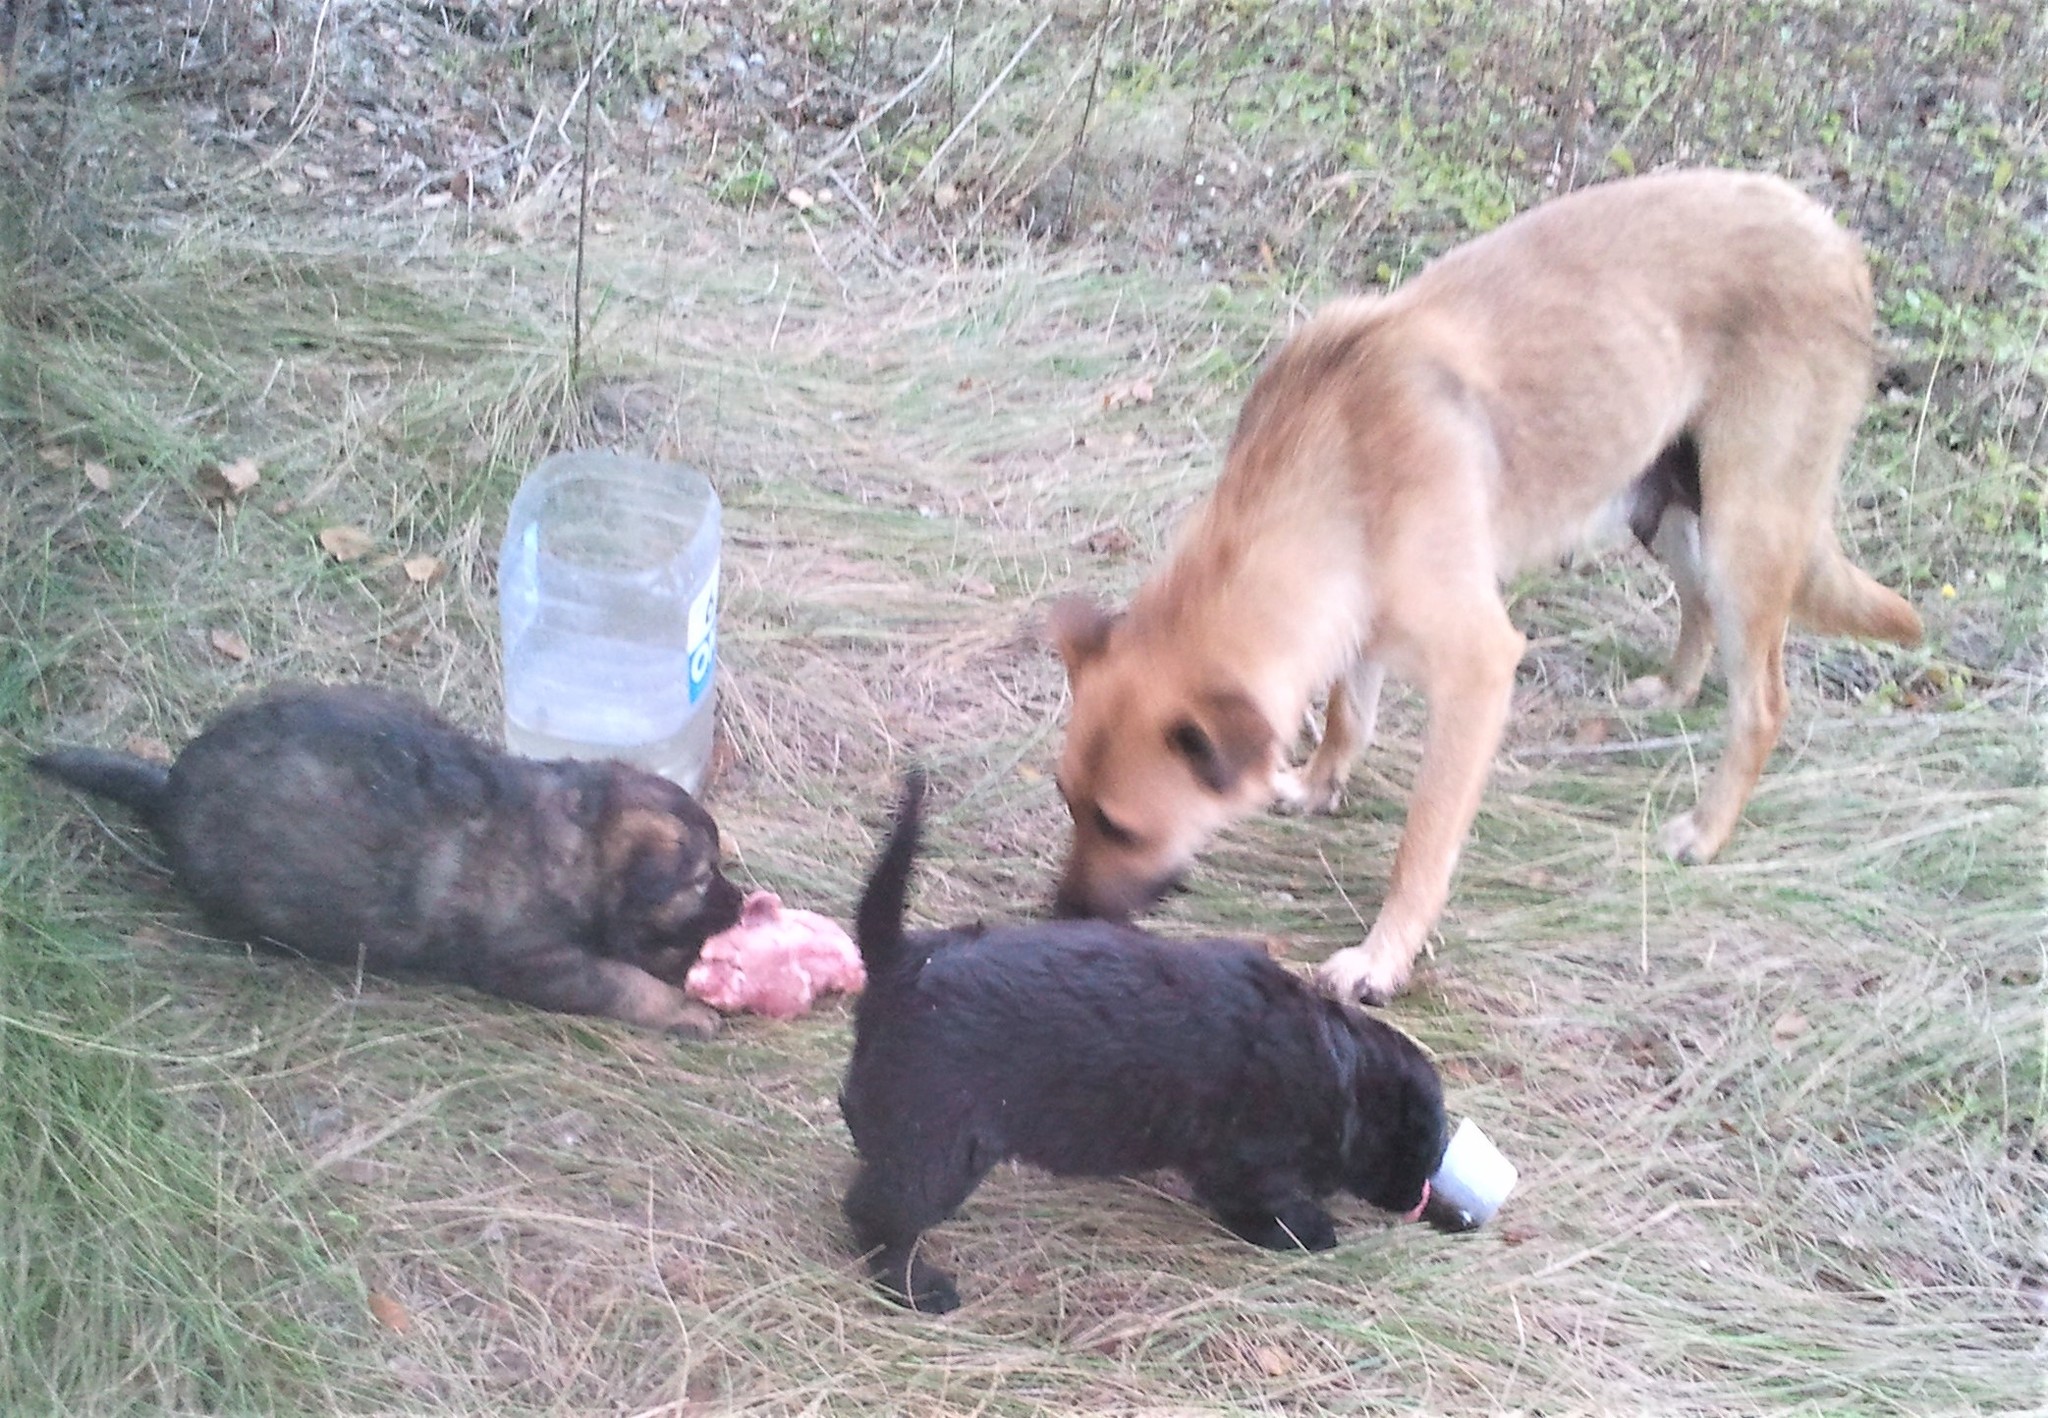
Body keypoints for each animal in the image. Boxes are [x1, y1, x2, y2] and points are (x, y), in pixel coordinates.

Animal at [29, 684, 745, 1028]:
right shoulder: (536, 963)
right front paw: (684, 1009)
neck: (570, 841)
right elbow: (620, 980)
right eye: (700, 877)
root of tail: (168, 788)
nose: (740, 904)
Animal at [839, 770, 1449, 1311]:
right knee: (877, 1213)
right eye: (1418, 1146)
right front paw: (1309, 1229)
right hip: (939, 1149)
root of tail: (901, 959)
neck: (1339, 1064)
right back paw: (916, 1287)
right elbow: (1262, 1203)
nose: (1416, 1200)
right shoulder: (1245, 1163)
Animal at [1048, 172, 1925, 1004]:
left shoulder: (1477, 671)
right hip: (1663, 505)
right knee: (1698, 603)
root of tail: (1838, 240)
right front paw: (1320, 784)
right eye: (1068, 801)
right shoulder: (1360, 621)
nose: (1060, 921)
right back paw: (1675, 690)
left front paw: (1382, 958)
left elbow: (1423, 843)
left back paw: (1705, 833)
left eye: (1121, 828)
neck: (1333, 462)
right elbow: (1349, 712)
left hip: (1748, 531)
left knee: (1762, 702)